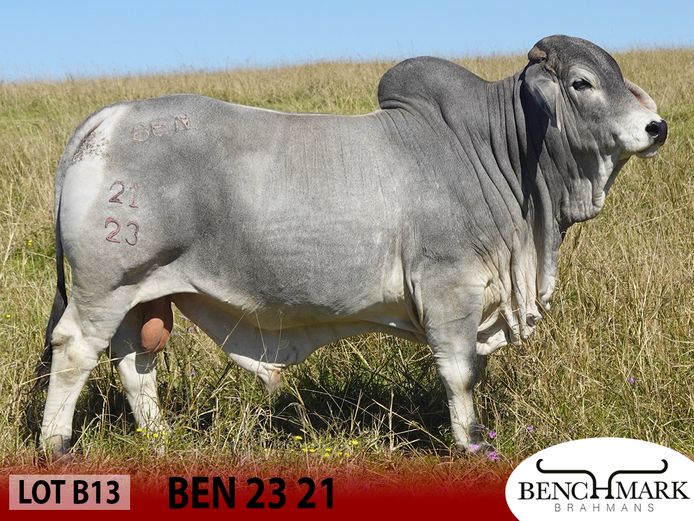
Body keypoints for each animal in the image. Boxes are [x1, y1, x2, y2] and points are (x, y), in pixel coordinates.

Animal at [39, 35, 667, 460]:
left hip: (140, 294)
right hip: (105, 286)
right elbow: (461, 372)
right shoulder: (451, 286)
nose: (656, 127)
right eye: (582, 82)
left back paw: (161, 440)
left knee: (132, 362)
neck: (496, 151)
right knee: (74, 351)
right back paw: (55, 445)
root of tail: (105, 121)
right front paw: (471, 445)